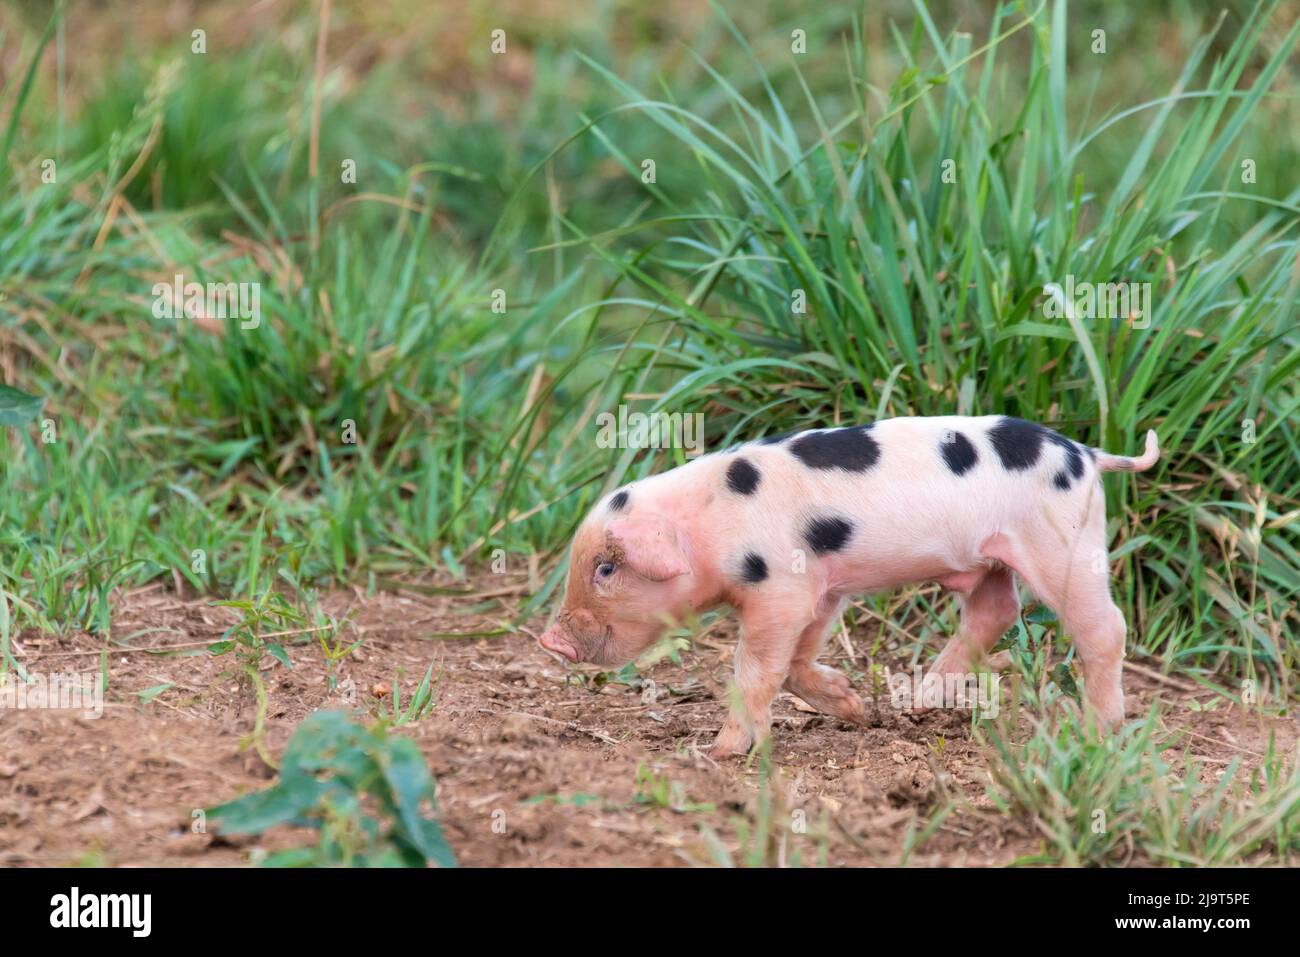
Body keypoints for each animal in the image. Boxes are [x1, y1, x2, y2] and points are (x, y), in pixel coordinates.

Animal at [538, 416, 1160, 757]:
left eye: (606, 569)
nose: (550, 641)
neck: (709, 522)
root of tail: (1087, 455)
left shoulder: (780, 588)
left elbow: (754, 668)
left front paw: (722, 751)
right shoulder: (820, 587)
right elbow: (795, 663)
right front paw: (858, 709)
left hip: (1064, 545)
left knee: (1104, 627)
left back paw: (1097, 730)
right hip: (992, 560)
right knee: (995, 609)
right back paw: (918, 701)